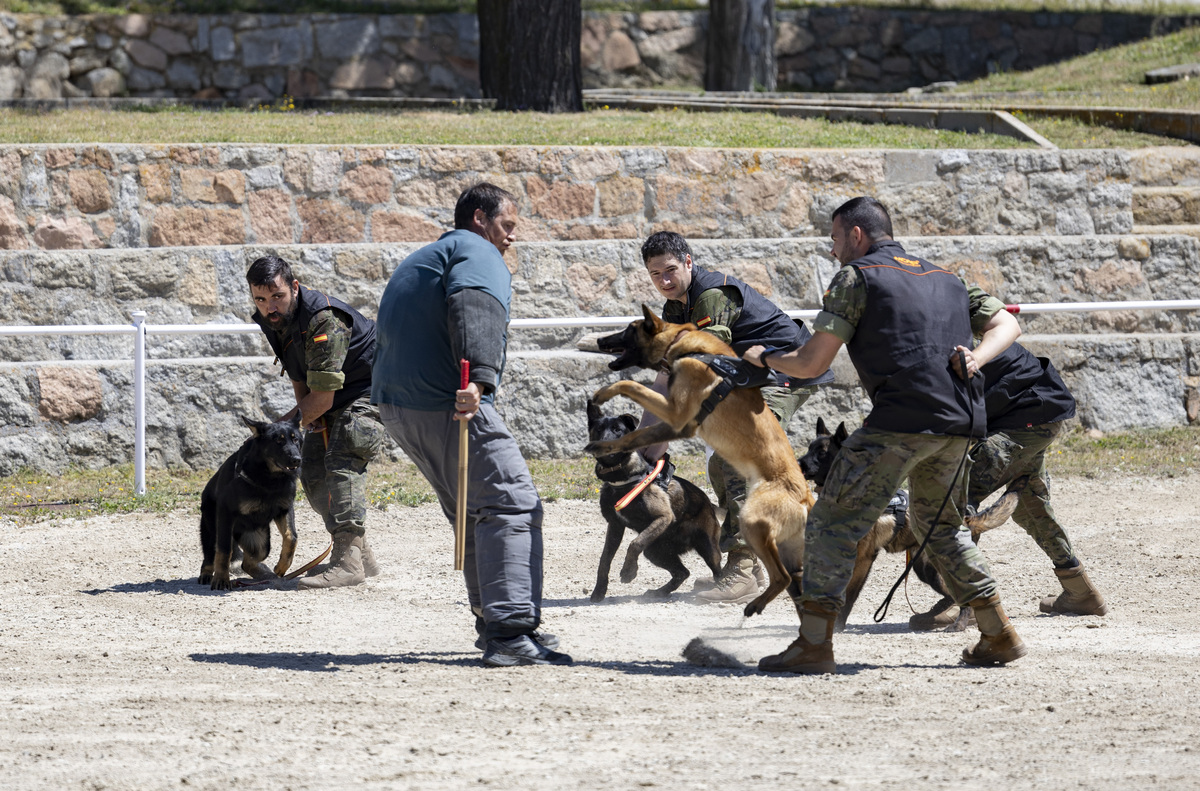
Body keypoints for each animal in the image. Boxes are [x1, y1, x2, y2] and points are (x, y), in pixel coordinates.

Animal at [199, 410, 302, 590]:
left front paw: (282, 566)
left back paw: (264, 574)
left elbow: (291, 537)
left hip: (260, 543)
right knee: (211, 553)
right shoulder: (226, 513)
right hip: (213, 530)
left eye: (295, 439)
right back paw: (206, 573)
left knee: (247, 563)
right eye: (278, 441)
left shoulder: (285, 509)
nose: (297, 459)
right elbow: (224, 551)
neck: (270, 478)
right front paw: (221, 578)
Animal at [583, 398, 715, 602]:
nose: (604, 445)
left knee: (718, 570)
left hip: (707, 546)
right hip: (655, 551)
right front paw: (599, 590)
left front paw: (629, 572)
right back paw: (660, 591)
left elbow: (635, 543)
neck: (621, 479)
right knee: (682, 572)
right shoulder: (615, 526)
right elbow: (604, 560)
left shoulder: (663, 517)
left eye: (617, 429)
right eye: (598, 429)